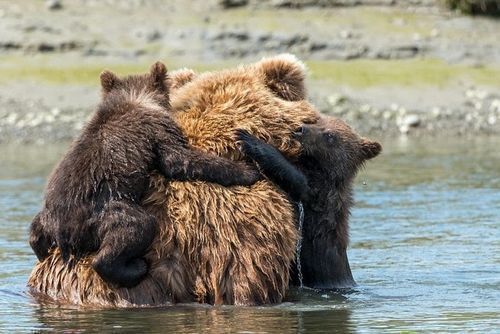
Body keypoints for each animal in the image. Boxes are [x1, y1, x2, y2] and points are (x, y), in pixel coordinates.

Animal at [27, 55, 322, 308]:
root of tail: (66, 234)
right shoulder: (242, 240)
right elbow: (179, 159)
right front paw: (246, 170)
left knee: (36, 233)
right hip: (112, 218)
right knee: (133, 231)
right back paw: (131, 266)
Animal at [236, 116, 380, 288]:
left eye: (330, 135)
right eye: (319, 121)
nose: (301, 129)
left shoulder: (319, 196)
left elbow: (294, 178)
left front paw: (248, 139)